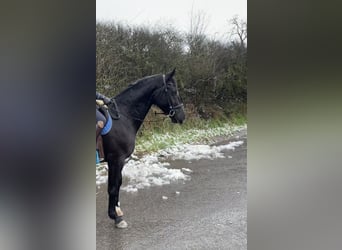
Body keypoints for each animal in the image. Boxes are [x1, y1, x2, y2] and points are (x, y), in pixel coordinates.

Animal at [99, 69, 184, 228]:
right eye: (173, 90)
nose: (182, 116)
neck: (123, 117)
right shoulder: (116, 159)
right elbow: (113, 187)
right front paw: (116, 217)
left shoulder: (118, 161)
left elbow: (118, 183)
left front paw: (118, 212)